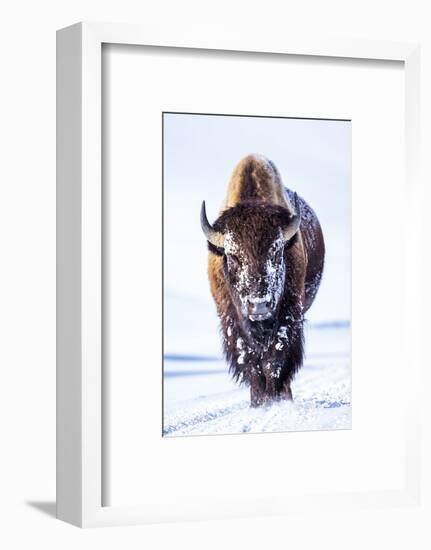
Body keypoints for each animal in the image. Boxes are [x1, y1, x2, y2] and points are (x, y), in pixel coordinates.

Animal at [201, 153, 326, 408]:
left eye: (277, 252)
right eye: (233, 256)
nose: (259, 306)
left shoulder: (288, 315)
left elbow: (275, 359)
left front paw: (275, 399)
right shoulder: (232, 321)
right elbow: (250, 362)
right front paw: (259, 402)